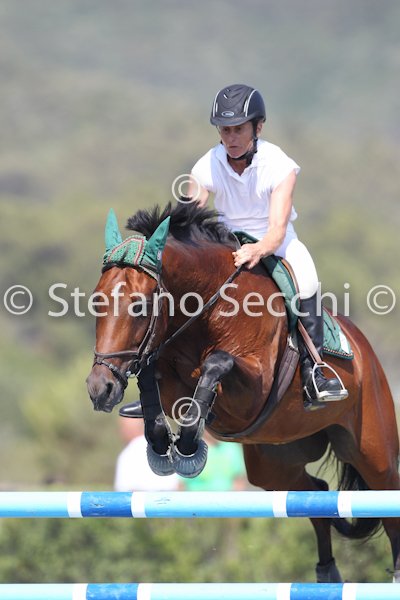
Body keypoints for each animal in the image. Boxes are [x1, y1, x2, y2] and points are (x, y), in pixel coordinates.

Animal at [86, 202, 400, 583]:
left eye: (138, 306)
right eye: (96, 302)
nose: (100, 388)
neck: (208, 308)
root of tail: (366, 352)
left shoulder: (253, 391)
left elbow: (216, 363)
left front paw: (188, 448)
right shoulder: (167, 373)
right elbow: (150, 378)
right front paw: (161, 444)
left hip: (373, 452)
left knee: (388, 502)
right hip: (275, 463)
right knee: (316, 495)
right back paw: (327, 573)